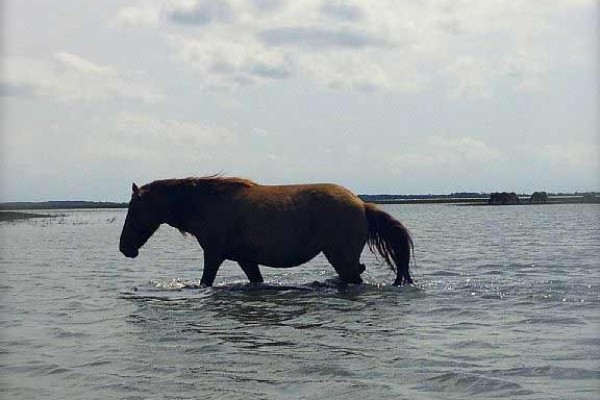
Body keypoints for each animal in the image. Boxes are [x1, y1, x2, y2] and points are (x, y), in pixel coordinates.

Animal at [119, 177, 414, 286]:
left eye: (133, 210)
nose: (125, 248)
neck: (210, 204)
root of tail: (361, 204)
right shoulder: (246, 260)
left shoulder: (213, 255)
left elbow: (205, 282)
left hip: (342, 258)